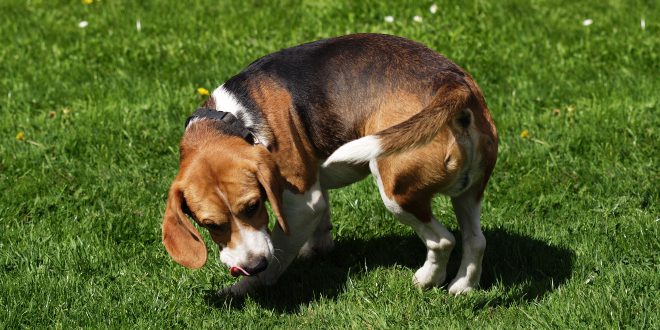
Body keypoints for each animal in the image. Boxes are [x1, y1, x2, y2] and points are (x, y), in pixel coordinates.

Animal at [162, 33, 498, 296]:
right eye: (210, 225)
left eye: (253, 206)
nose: (252, 266)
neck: (235, 119)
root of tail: (451, 82)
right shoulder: (315, 195)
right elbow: (320, 223)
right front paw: (316, 249)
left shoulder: (302, 204)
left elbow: (279, 252)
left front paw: (247, 287)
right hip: (468, 192)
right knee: (476, 240)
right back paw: (463, 286)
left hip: (395, 192)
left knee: (443, 240)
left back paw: (427, 280)